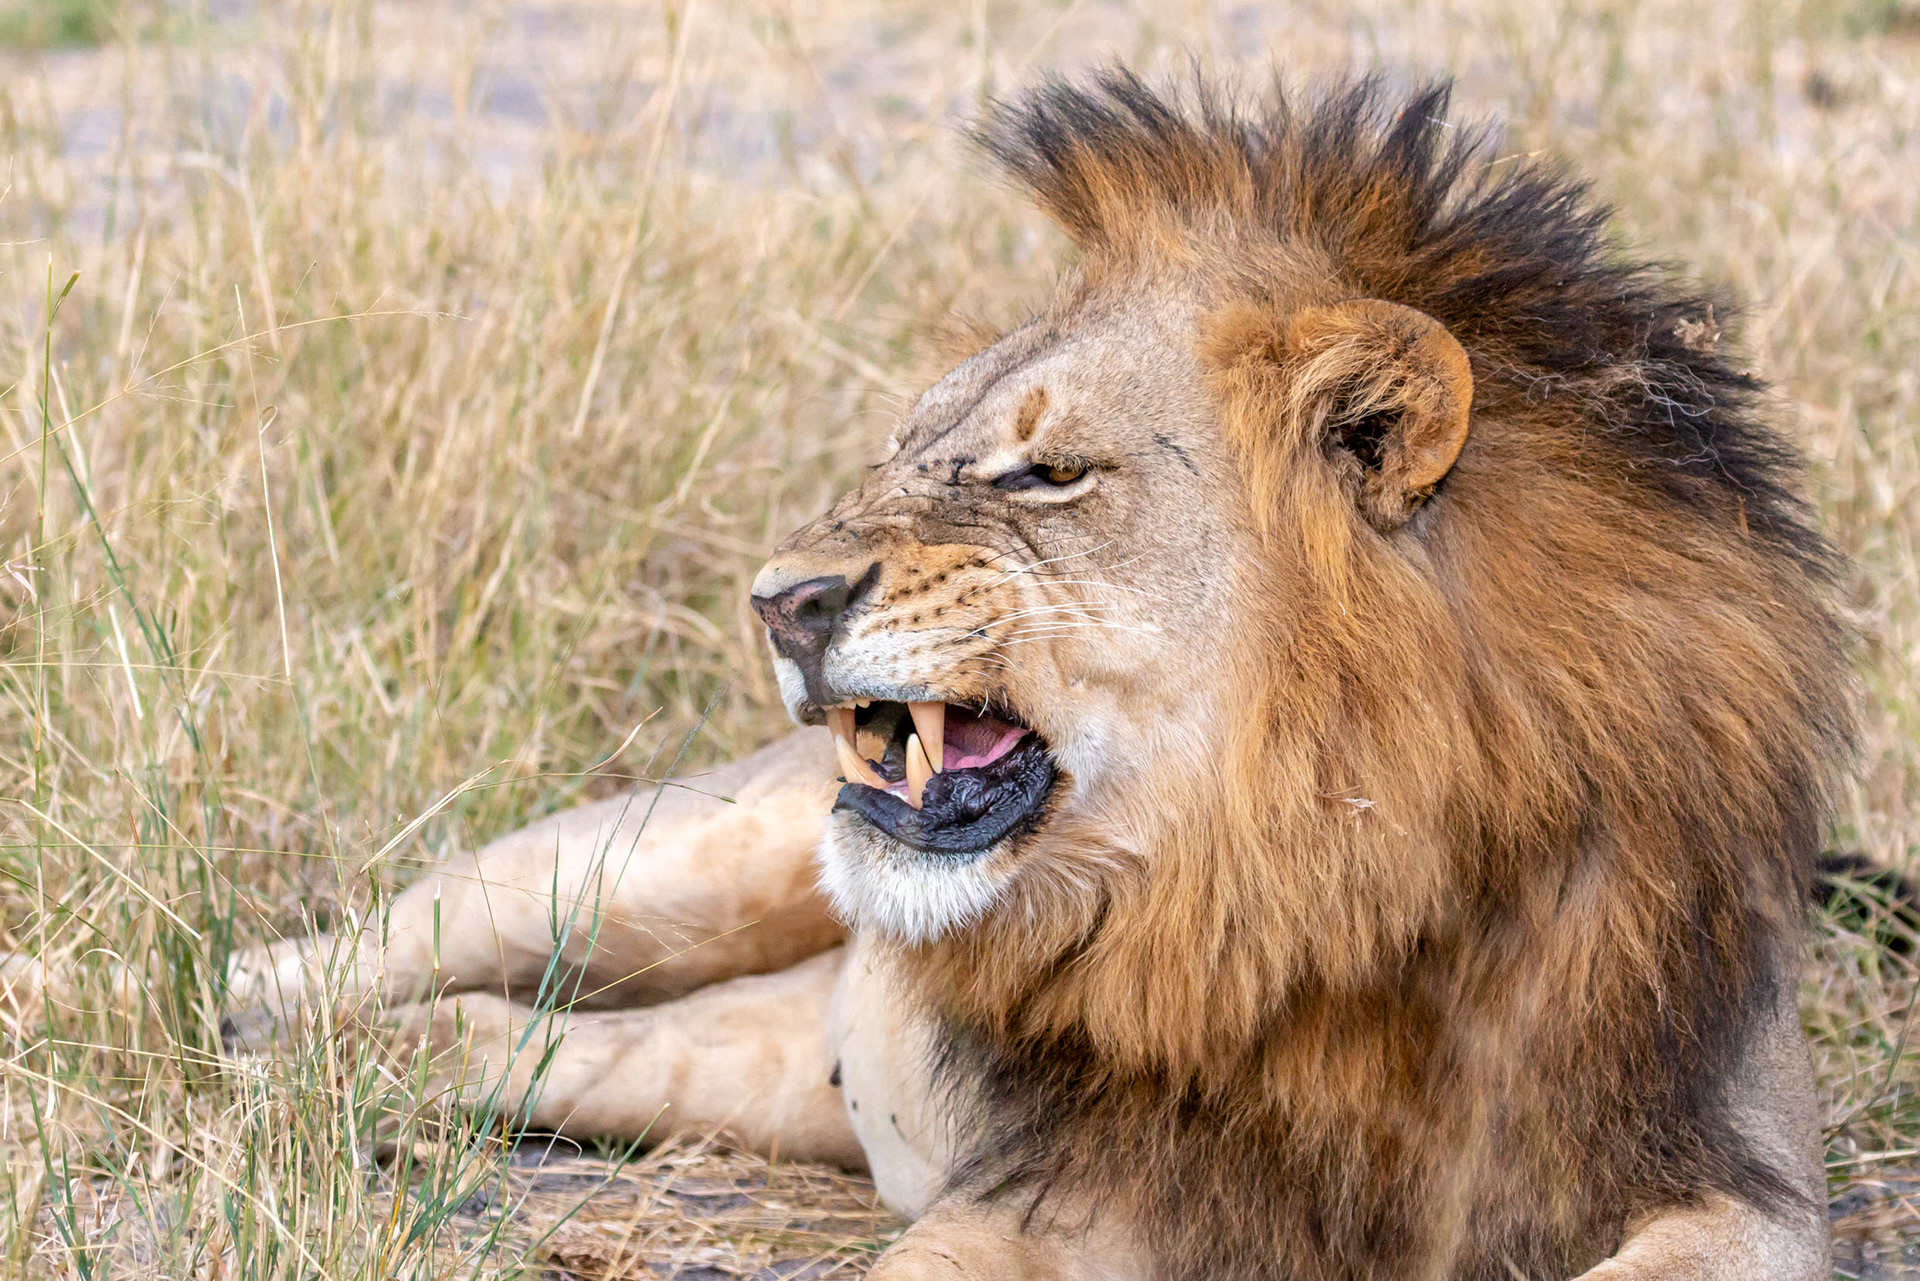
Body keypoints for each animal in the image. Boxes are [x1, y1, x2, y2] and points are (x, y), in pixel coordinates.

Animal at [221, 72, 1851, 1279]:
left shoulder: (1731, 1172)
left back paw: (372, 1073)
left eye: (1050, 471)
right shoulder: (1059, 1198)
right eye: (906, 451)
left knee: (527, 1037)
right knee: (385, 935)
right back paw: (222, 1015)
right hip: (661, 864)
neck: (1316, 878)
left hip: (747, 1058)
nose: (778, 603)